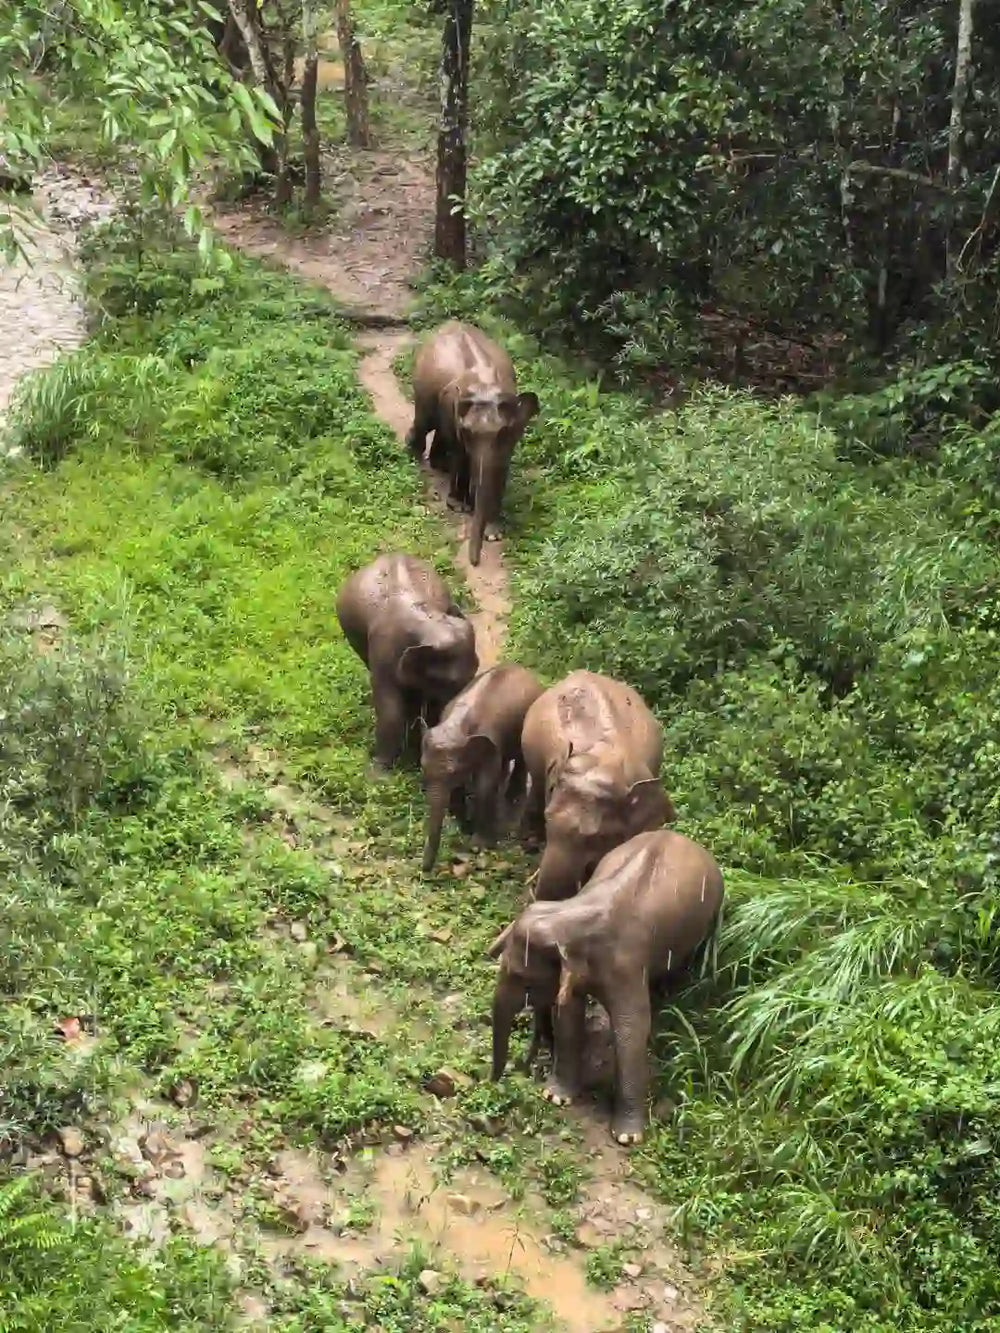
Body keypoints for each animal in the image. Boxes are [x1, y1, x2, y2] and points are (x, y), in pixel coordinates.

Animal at [336, 554, 478, 769]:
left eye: (476, 672)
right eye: (451, 682)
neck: (429, 622)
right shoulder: (384, 651)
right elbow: (391, 710)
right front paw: (378, 770)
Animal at [404, 321, 540, 567]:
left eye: (504, 433)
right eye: (468, 432)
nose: (474, 562)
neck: (484, 385)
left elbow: (499, 466)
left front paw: (494, 533)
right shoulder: (453, 413)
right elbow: (461, 452)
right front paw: (459, 506)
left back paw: (439, 465)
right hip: (422, 384)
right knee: (425, 421)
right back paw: (415, 455)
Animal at [420, 663, 545, 872]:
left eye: (453, 772)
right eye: (423, 768)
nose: (425, 869)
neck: (458, 723)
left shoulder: (490, 742)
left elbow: (485, 784)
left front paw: (478, 845)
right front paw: (463, 826)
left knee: (520, 759)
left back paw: (512, 797)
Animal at [488, 829, 724, 1145]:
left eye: (522, 978)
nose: (495, 1081)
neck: (570, 914)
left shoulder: (627, 964)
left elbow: (631, 1028)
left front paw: (627, 1137)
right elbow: (569, 1015)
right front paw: (555, 1096)